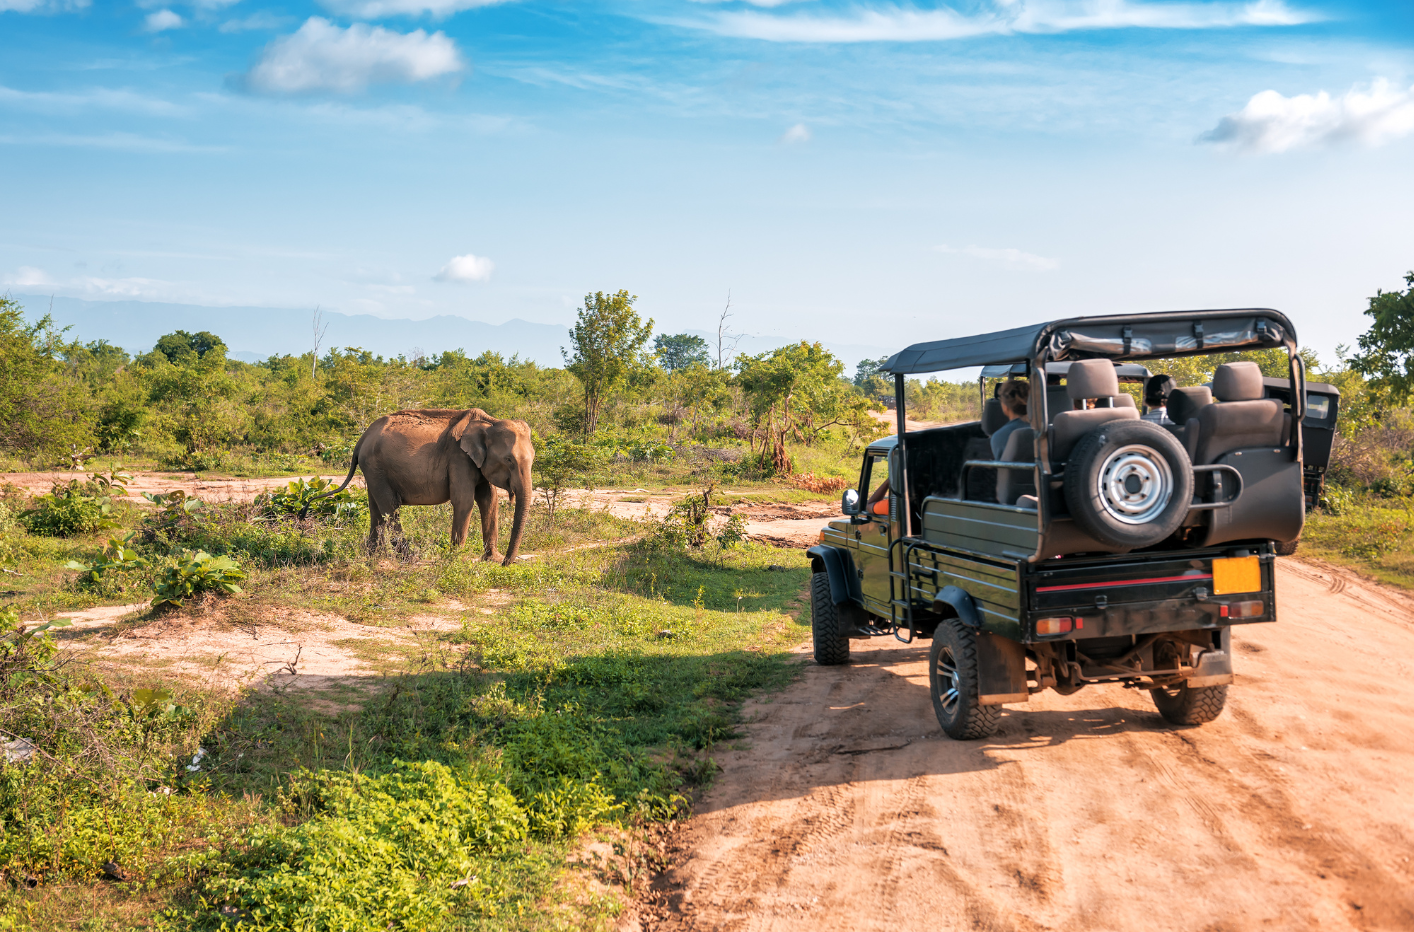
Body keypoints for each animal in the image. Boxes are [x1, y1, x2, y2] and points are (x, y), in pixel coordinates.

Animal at [315, 407, 534, 565]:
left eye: (533, 458)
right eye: (509, 460)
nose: (506, 563)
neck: (489, 422)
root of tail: (361, 439)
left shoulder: (476, 463)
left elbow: (489, 500)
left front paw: (492, 559)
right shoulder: (459, 458)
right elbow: (464, 501)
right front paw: (455, 559)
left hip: (372, 470)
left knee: (376, 509)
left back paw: (374, 557)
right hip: (376, 467)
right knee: (390, 507)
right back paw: (409, 557)